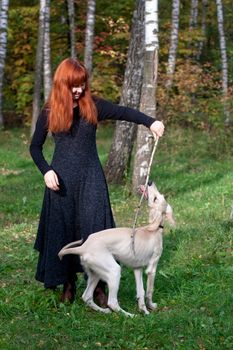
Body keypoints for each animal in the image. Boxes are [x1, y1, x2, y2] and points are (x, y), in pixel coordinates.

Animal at [58, 182, 175, 316]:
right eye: (155, 198)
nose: (150, 182)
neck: (153, 229)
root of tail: (83, 247)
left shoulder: (137, 268)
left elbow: (141, 291)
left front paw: (143, 309)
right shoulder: (152, 268)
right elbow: (149, 291)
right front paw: (150, 308)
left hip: (95, 273)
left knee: (86, 297)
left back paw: (104, 311)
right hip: (114, 271)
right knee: (112, 302)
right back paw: (130, 315)